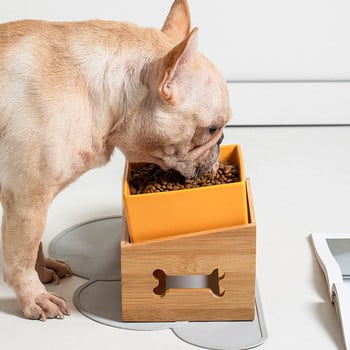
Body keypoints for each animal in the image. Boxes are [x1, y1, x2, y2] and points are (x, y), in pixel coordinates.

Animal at [0, 0, 231, 320]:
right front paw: (34, 297)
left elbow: (35, 244)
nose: (220, 143)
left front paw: (43, 269)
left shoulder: (29, 203)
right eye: (211, 129)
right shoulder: (26, 201)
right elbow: (21, 253)